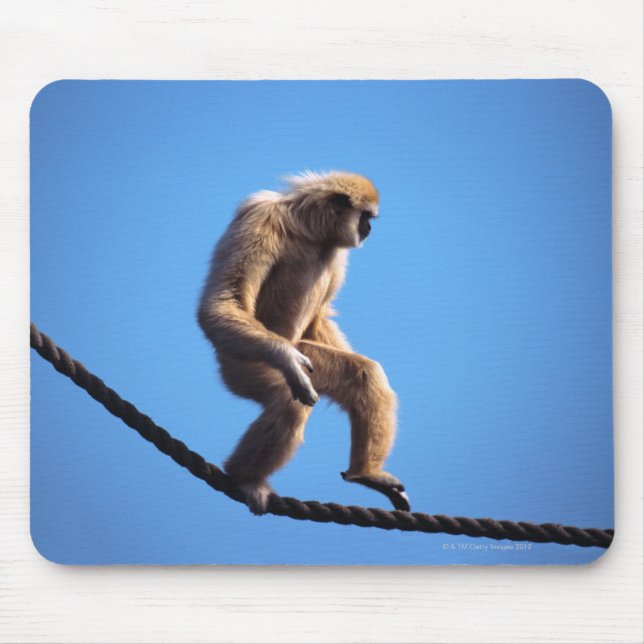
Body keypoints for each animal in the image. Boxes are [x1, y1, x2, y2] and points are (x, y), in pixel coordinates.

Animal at [197, 171, 410, 515]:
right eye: (365, 217)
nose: (368, 229)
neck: (308, 230)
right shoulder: (259, 217)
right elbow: (221, 303)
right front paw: (286, 359)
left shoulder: (336, 251)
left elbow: (319, 318)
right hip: (241, 360)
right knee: (289, 401)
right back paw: (245, 478)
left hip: (300, 353)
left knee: (365, 375)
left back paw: (365, 473)